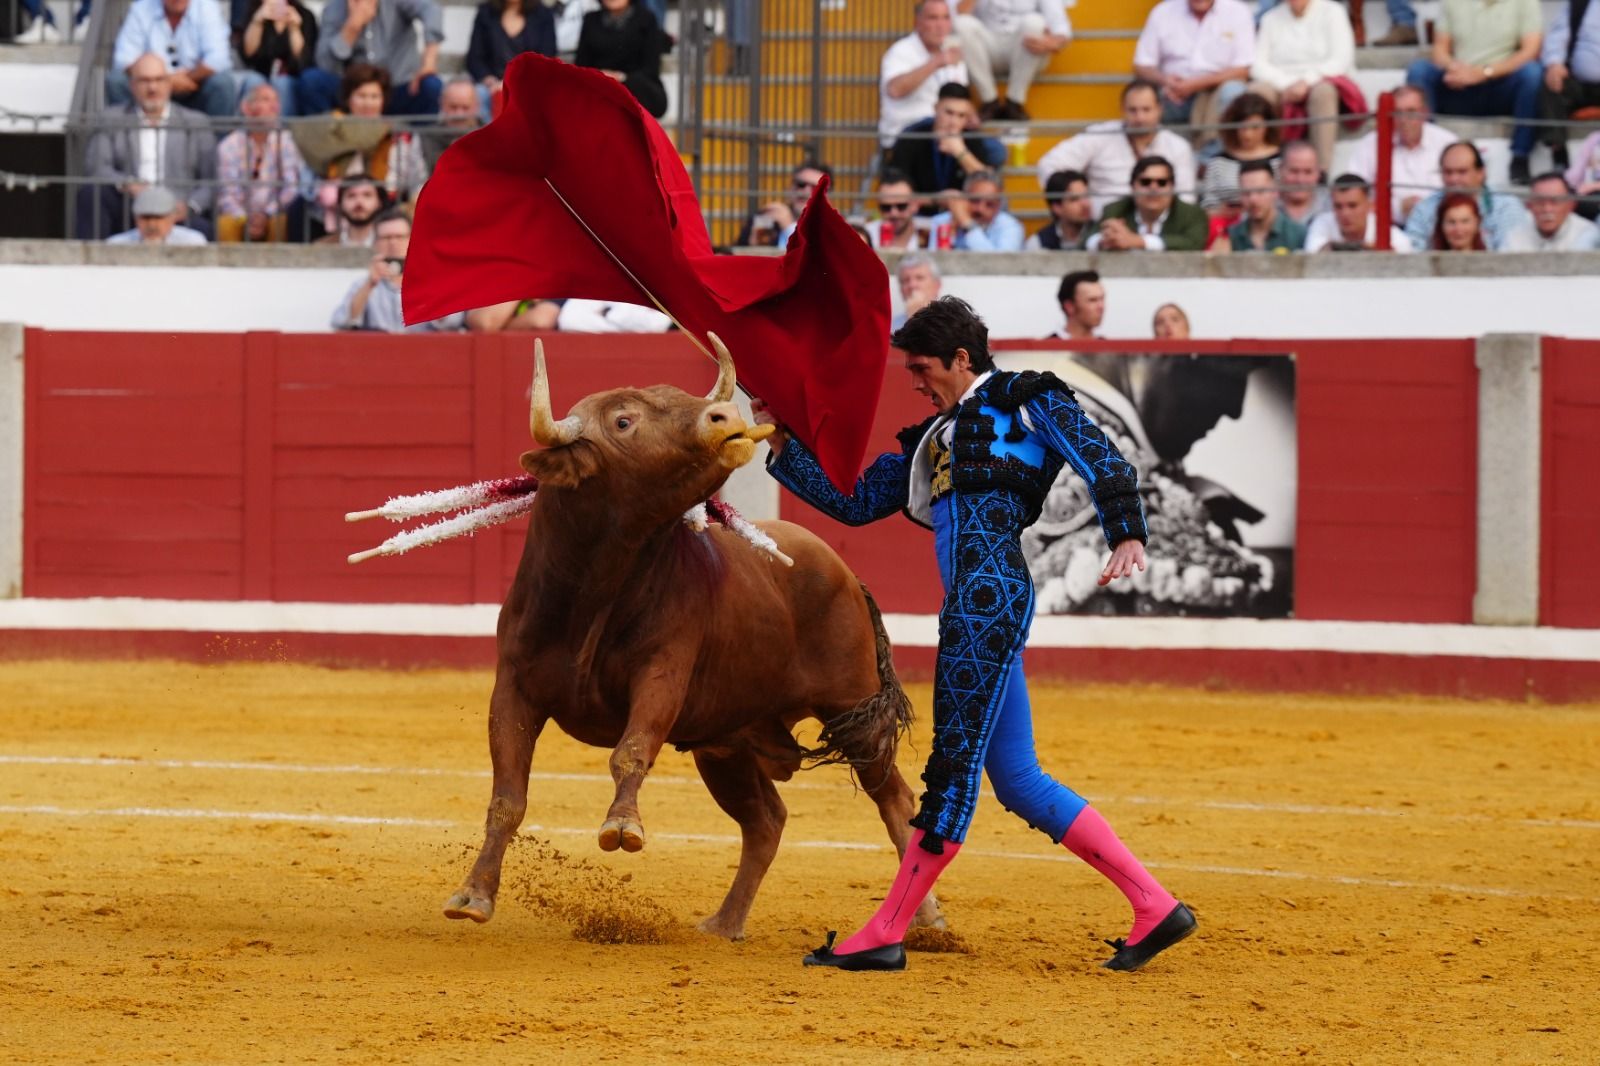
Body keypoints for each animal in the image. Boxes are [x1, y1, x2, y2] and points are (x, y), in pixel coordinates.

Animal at [438, 336, 940, 934]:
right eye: (624, 421)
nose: (727, 417)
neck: (594, 587)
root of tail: (844, 571)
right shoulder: (514, 689)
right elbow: (507, 796)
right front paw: (473, 895)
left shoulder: (663, 672)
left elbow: (631, 749)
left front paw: (622, 827)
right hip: (727, 743)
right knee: (766, 821)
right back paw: (724, 923)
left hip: (853, 711)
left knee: (896, 802)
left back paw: (923, 921)